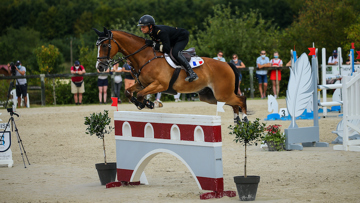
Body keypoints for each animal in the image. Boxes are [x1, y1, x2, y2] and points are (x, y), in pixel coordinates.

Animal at [93, 26, 248, 122]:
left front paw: (149, 104)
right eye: (97, 46)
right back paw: (237, 122)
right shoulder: (142, 83)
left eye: (105, 45)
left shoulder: (160, 84)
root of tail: (227, 64)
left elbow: (141, 94)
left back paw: (245, 120)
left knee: (241, 99)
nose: (100, 67)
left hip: (222, 93)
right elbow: (128, 92)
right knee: (234, 104)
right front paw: (144, 104)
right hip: (211, 97)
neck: (144, 57)